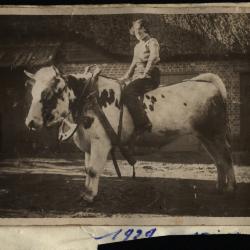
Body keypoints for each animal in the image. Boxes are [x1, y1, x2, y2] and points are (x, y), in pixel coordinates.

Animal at [24, 65, 236, 202]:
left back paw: (231, 188)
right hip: (205, 136)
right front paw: (85, 192)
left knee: (226, 157)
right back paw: (220, 187)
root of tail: (208, 83)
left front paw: (90, 197)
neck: (90, 98)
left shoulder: (101, 142)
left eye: (48, 94)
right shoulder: (89, 144)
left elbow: (93, 170)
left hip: (215, 133)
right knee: (218, 160)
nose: (30, 122)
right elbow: (87, 169)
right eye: (32, 93)